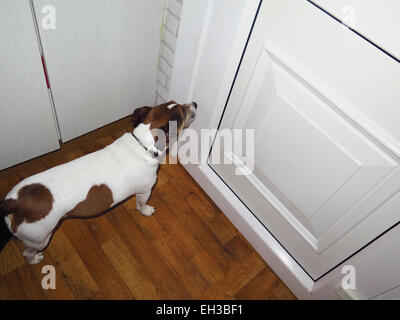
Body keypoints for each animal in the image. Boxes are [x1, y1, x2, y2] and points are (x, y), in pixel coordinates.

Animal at [0, 101, 197, 264]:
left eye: (175, 102)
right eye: (182, 112)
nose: (194, 103)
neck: (142, 144)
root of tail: (15, 203)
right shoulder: (145, 191)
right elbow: (142, 205)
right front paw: (146, 211)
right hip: (40, 238)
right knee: (27, 253)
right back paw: (34, 260)